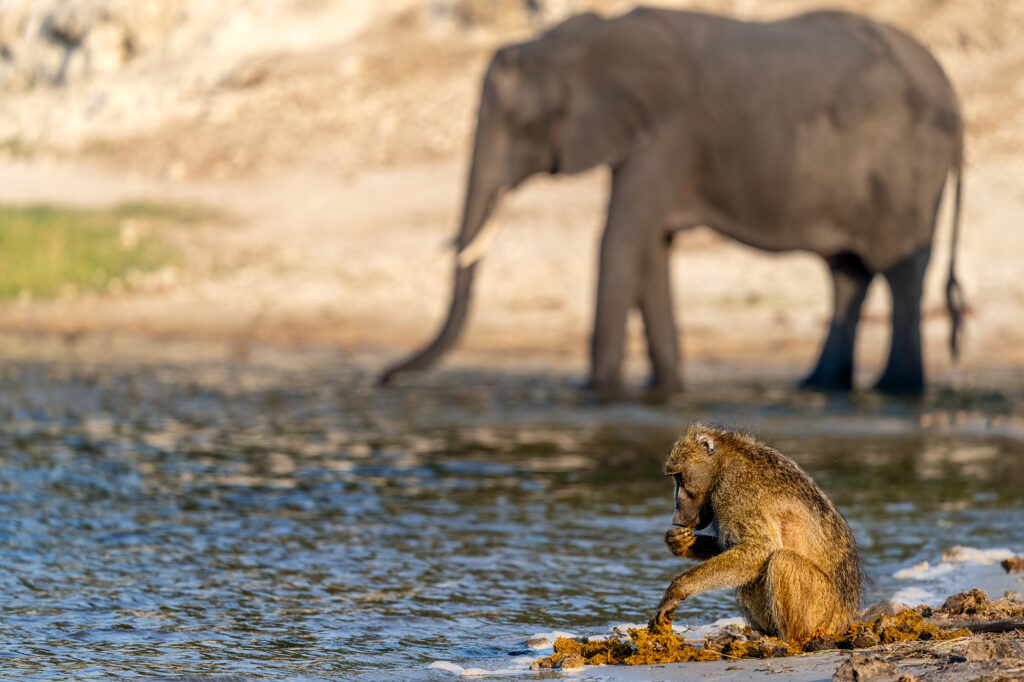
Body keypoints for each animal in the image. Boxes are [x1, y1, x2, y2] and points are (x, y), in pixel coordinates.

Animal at [380, 5, 962, 393]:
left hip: (908, 167)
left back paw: (897, 390)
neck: (577, 39)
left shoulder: (667, 134)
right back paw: (819, 388)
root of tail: (952, 94)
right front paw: (663, 390)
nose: (384, 378)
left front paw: (597, 393)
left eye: (519, 124)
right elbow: (651, 249)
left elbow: (620, 239)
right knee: (847, 274)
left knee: (898, 271)